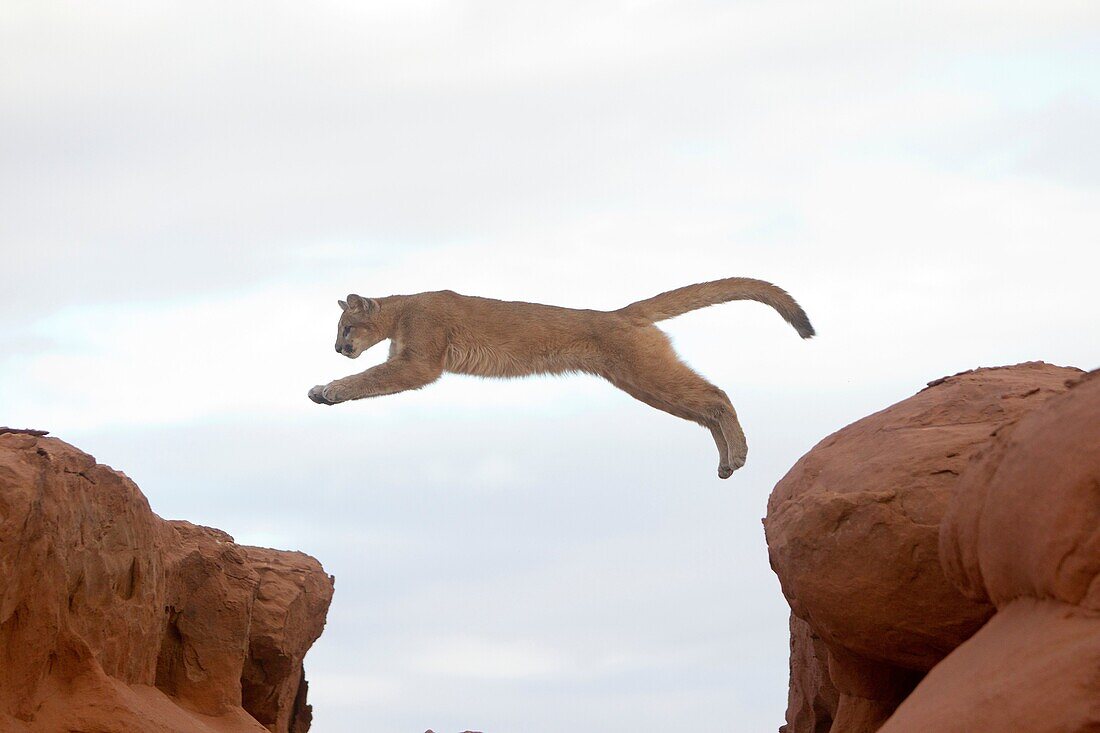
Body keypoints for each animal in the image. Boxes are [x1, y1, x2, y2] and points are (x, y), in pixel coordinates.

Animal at [305, 277, 814, 477]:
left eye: (345, 328)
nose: (337, 348)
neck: (402, 309)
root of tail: (621, 313)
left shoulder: (419, 363)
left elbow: (370, 378)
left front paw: (327, 390)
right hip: (641, 382)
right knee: (706, 404)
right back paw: (727, 462)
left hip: (646, 373)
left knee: (717, 395)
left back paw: (738, 455)